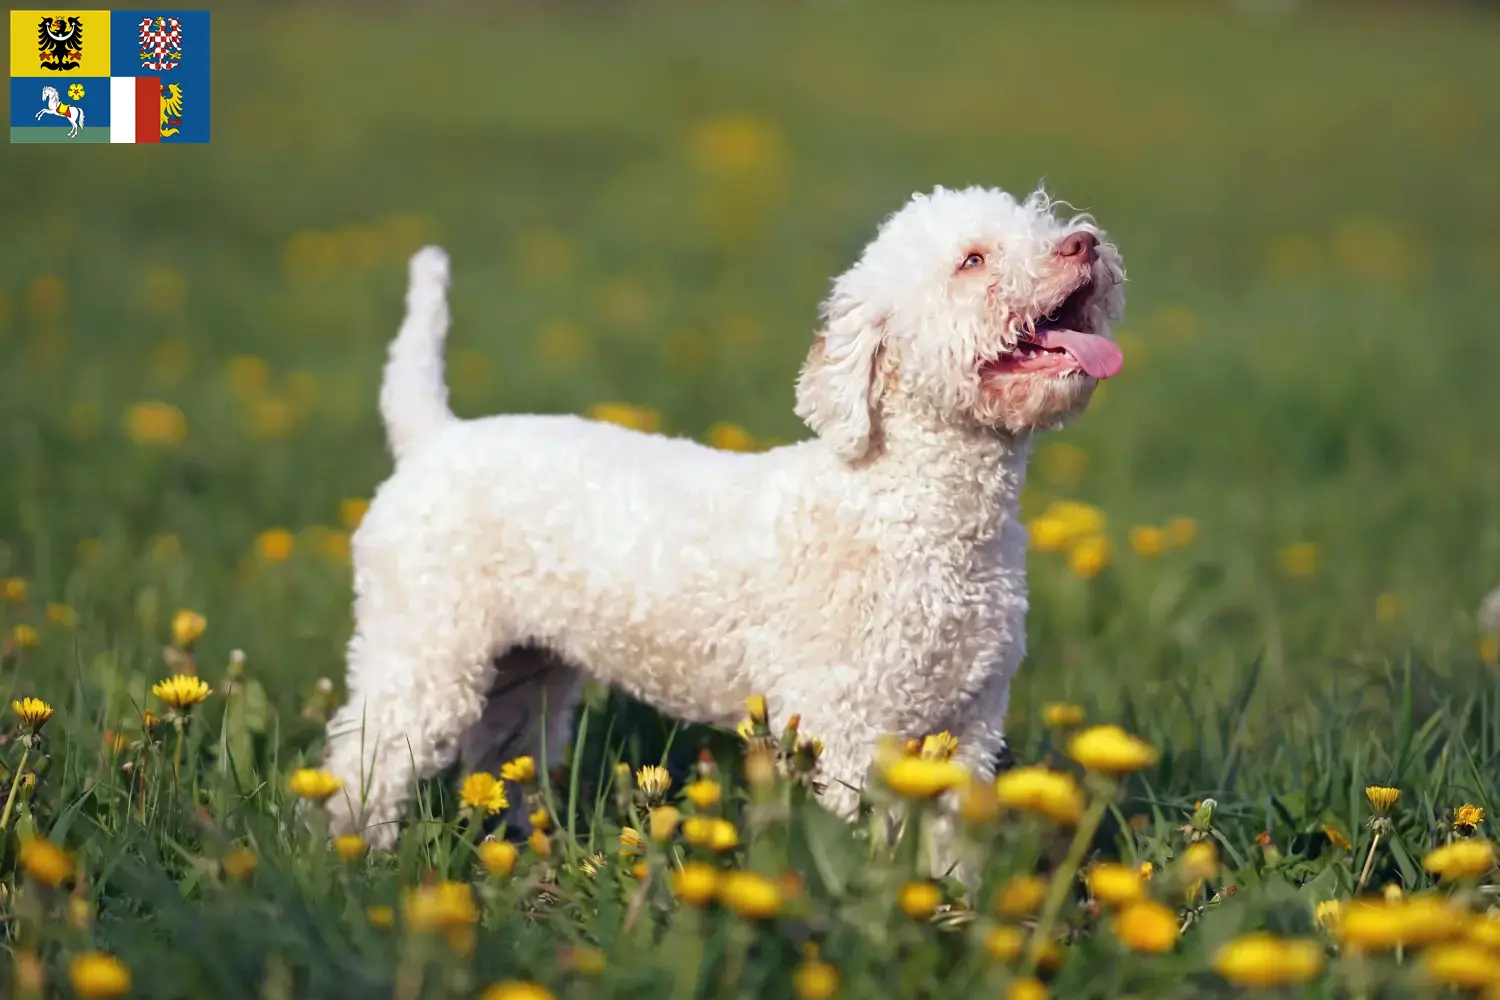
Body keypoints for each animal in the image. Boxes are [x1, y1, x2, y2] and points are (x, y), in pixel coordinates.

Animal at [328, 183, 1128, 851]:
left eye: (1042, 220)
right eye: (972, 260)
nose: (1084, 244)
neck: (912, 509)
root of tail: (433, 434)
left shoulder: (969, 722)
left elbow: (947, 851)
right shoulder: (844, 721)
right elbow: (859, 841)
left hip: (527, 671)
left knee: (503, 753)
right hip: (422, 648)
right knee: (362, 758)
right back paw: (353, 853)